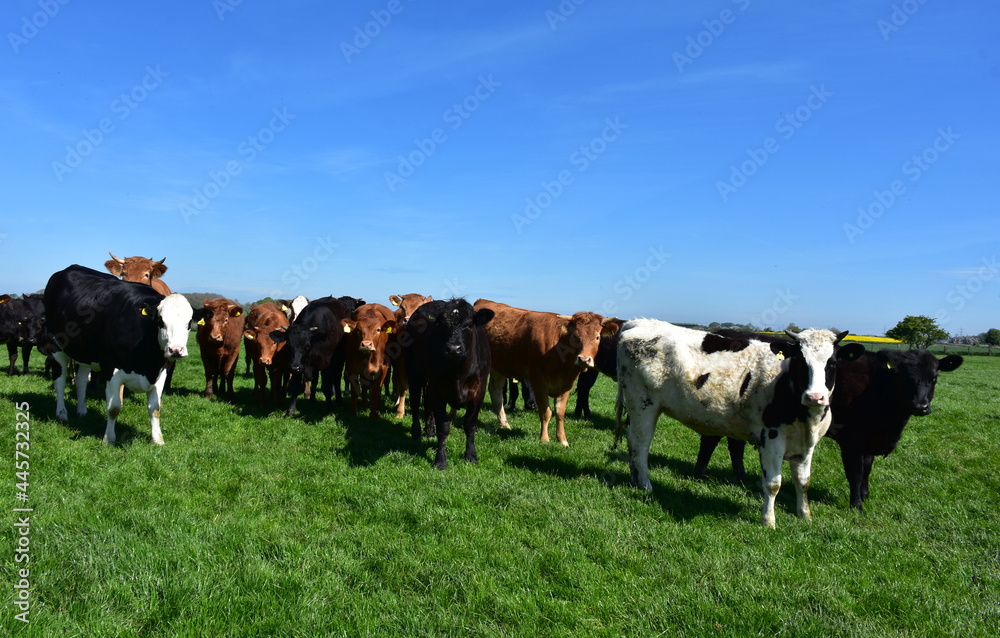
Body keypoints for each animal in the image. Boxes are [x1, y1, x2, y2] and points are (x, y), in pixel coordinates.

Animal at [43, 264, 195, 444]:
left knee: (80, 380)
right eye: (160, 321)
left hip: (84, 352)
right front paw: (109, 439)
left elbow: (155, 408)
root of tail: (69, 268)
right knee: (59, 381)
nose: (176, 350)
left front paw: (157, 440)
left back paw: (81, 411)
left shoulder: (161, 371)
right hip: (56, 345)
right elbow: (114, 407)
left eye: (189, 324)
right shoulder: (111, 368)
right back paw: (62, 413)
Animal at [398, 298, 492, 470]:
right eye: (442, 324)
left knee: (427, 403)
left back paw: (430, 431)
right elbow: (443, 427)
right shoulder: (437, 390)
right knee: (415, 401)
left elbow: (470, 425)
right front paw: (440, 460)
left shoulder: (479, 391)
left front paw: (471, 456)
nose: (453, 349)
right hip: (413, 371)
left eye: (469, 324)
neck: (458, 373)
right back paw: (417, 431)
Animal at [474, 302, 620, 448]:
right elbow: (546, 412)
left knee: (495, 391)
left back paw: (504, 425)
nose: (584, 359)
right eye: (575, 337)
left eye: (597, 337)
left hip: (499, 367)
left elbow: (560, 412)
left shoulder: (567, 384)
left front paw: (562, 440)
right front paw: (544, 439)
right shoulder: (539, 382)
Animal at [612, 320, 864, 528]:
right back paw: (645, 485)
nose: (814, 397)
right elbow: (773, 483)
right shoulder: (771, 439)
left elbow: (803, 482)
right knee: (640, 445)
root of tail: (640, 322)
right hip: (643, 405)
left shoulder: (807, 444)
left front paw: (805, 515)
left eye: (832, 363)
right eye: (801, 362)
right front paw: (768, 521)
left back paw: (635, 479)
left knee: (632, 441)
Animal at [692, 348, 964, 512]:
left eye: (934, 377)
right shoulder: (853, 439)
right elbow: (856, 472)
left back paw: (737, 475)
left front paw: (865, 495)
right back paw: (700, 473)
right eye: (903, 376)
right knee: (711, 439)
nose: (921, 406)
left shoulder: (870, 440)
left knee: (733, 443)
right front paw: (856, 505)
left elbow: (867, 469)